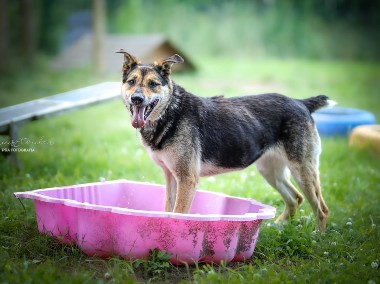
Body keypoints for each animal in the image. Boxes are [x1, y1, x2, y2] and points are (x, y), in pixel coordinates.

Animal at [116, 50, 332, 232]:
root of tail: (301, 103)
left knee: (321, 208)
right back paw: (277, 227)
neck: (170, 111)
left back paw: (318, 237)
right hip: (270, 171)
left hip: (302, 171)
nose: (136, 99)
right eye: (132, 82)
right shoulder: (171, 177)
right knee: (295, 198)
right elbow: (168, 210)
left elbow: (178, 214)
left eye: (153, 84)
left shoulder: (187, 179)